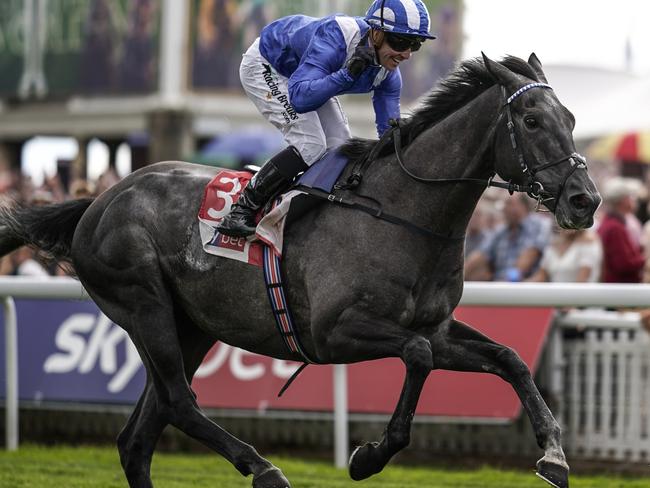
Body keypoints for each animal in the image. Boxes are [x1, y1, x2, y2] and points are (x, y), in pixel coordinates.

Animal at [0, 53, 596, 488]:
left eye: (570, 119)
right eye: (532, 121)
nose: (584, 199)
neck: (402, 213)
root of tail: (99, 201)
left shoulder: (436, 327)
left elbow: (510, 359)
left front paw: (554, 456)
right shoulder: (336, 331)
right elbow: (417, 357)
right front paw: (369, 455)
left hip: (190, 326)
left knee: (139, 438)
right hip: (144, 306)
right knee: (178, 402)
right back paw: (262, 467)